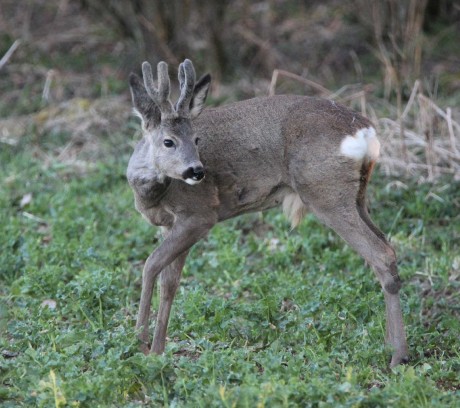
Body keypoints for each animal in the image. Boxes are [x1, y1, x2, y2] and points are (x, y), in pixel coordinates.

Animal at [126, 58, 410, 366]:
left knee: (380, 254)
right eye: (169, 141)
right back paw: (389, 345)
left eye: (197, 139)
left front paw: (140, 344)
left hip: (326, 193)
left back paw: (398, 356)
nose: (197, 171)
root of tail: (365, 131)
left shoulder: (199, 215)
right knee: (387, 248)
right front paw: (157, 351)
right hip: (357, 195)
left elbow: (151, 265)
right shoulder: (170, 224)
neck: (151, 193)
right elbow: (169, 282)